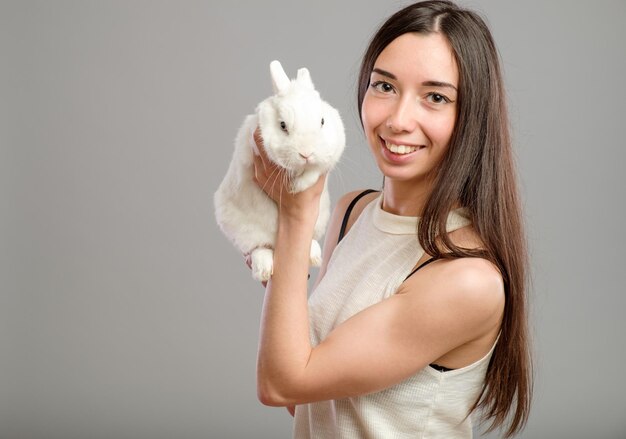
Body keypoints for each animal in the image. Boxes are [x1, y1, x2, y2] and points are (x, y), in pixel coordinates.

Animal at [212, 59, 344, 282]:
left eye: (322, 121)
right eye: (283, 126)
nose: (306, 153)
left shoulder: (331, 153)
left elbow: (315, 170)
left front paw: (297, 185)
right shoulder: (255, 143)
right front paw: (294, 181)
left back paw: (314, 255)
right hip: (241, 229)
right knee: (259, 248)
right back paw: (264, 269)